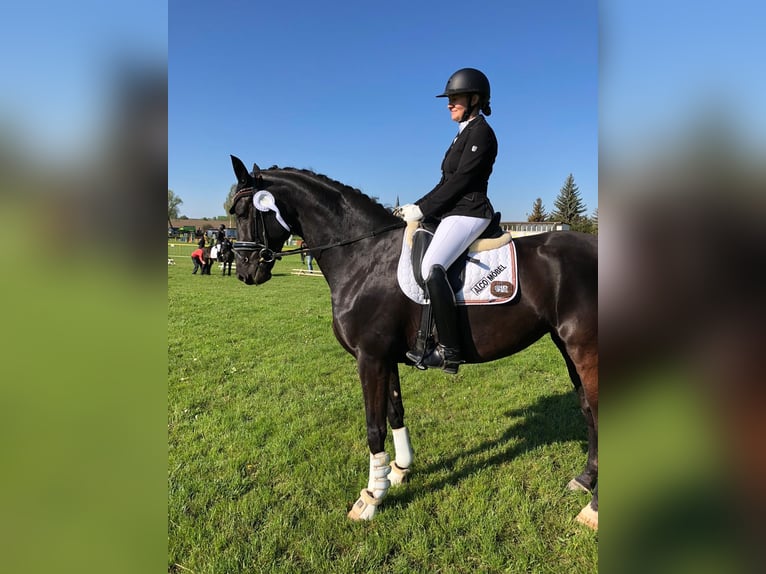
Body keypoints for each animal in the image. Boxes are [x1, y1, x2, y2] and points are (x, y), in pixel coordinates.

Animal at [227, 155, 599, 528]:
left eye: (243, 212)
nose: (245, 273)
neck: (363, 253)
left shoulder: (370, 357)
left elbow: (374, 426)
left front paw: (370, 498)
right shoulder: (385, 357)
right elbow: (395, 413)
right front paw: (398, 471)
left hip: (584, 348)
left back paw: (593, 509)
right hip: (566, 346)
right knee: (587, 409)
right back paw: (584, 481)